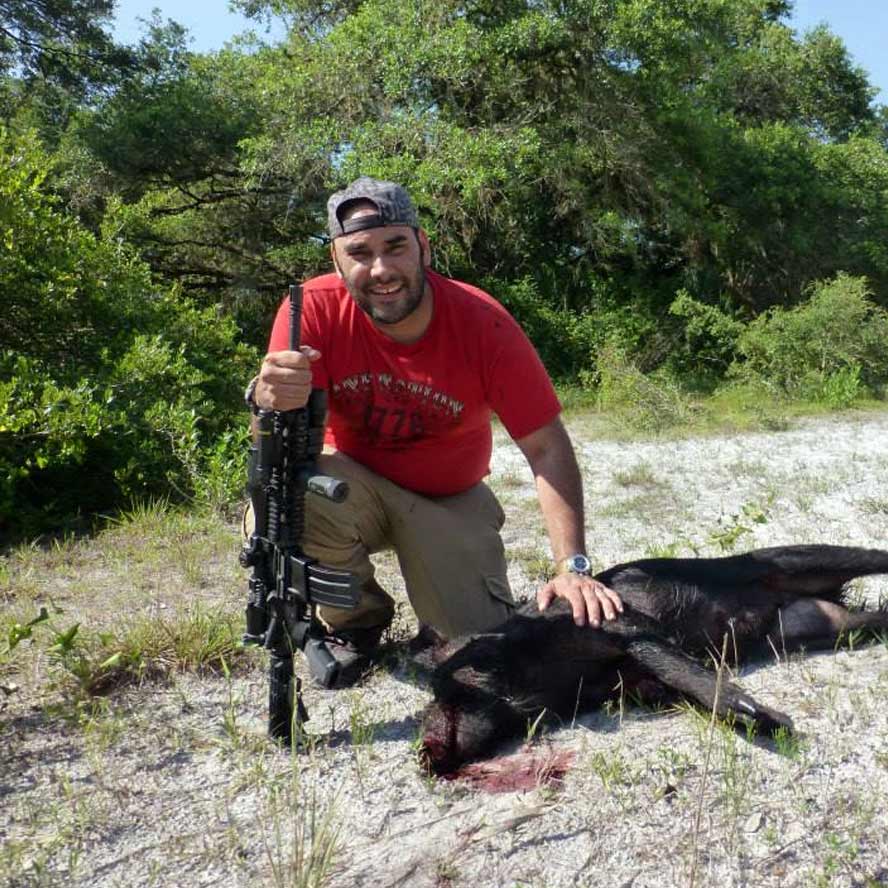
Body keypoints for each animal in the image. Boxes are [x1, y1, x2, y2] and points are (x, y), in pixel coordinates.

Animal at [419, 545, 888, 777]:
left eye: (444, 685)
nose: (422, 754)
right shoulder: (636, 684)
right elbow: (672, 681)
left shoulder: (625, 623)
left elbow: (671, 662)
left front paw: (771, 721)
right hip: (821, 626)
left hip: (796, 560)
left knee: (866, 554)